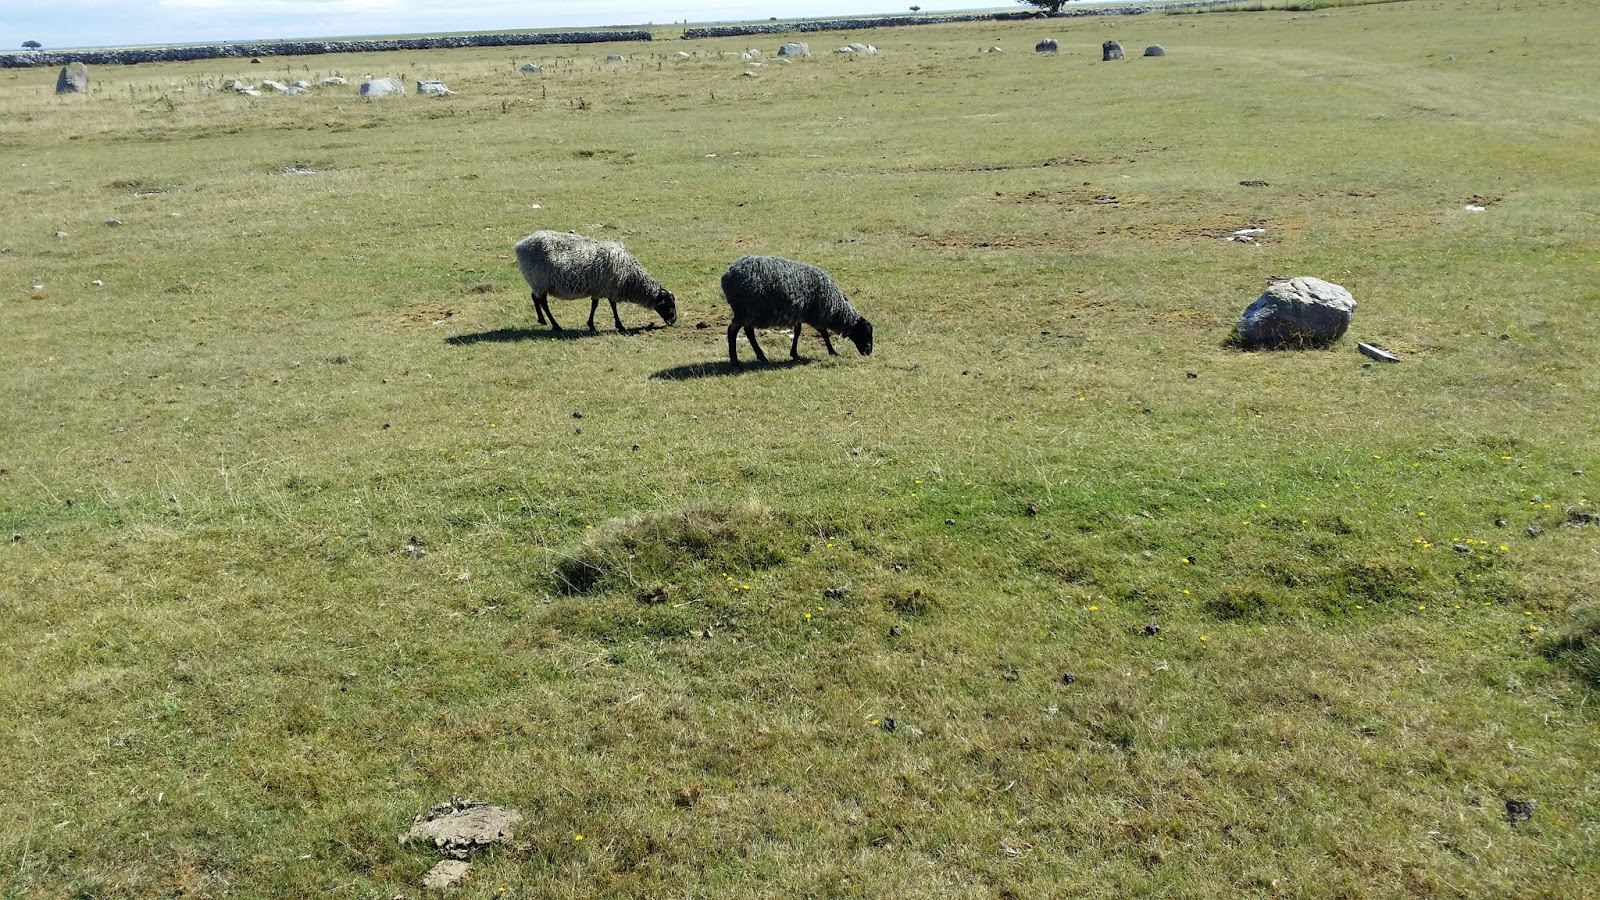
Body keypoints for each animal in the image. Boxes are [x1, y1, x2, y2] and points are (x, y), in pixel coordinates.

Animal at [513, 231, 677, 334]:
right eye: (669, 305)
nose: (674, 320)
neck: (630, 277)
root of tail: (520, 245)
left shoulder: (602, 288)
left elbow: (600, 305)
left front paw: (595, 324)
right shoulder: (607, 287)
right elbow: (606, 305)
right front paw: (616, 326)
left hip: (537, 281)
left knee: (535, 298)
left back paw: (542, 320)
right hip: (540, 279)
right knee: (543, 301)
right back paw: (556, 325)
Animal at [720, 255, 873, 366]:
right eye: (865, 333)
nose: (868, 352)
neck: (835, 308)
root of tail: (727, 276)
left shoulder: (800, 313)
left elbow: (798, 332)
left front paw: (794, 354)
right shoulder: (816, 315)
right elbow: (824, 333)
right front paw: (832, 351)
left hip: (751, 312)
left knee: (748, 331)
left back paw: (761, 356)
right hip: (746, 310)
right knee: (732, 330)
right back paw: (734, 361)